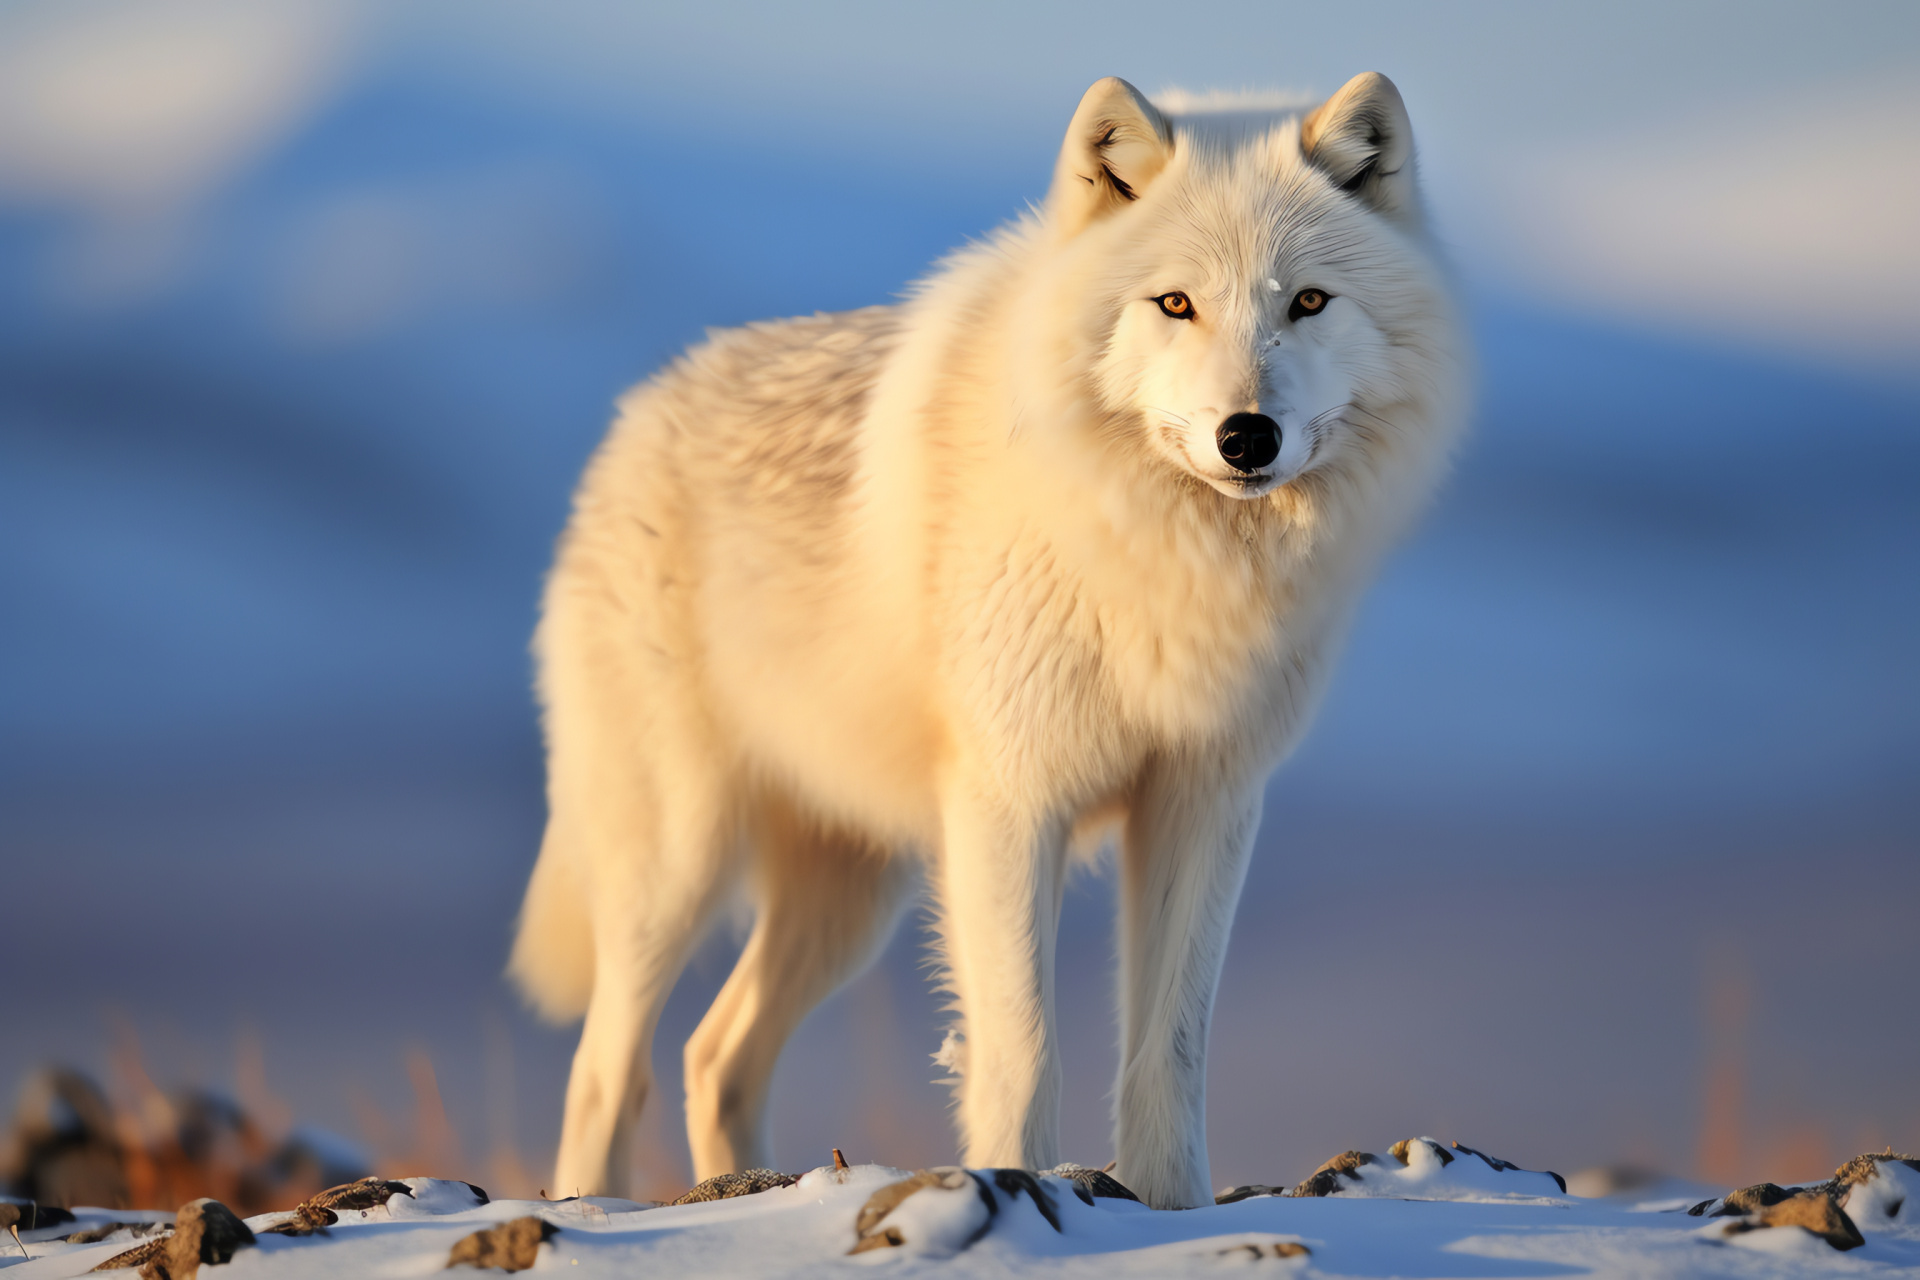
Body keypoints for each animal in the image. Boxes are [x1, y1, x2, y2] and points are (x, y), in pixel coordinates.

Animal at [510, 70, 1466, 1212]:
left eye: (1308, 302)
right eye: (1175, 304)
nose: (1247, 437)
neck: (1155, 560)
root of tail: (634, 417)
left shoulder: (1202, 802)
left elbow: (1172, 1049)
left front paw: (1171, 1210)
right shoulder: (1012, 802)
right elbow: (1022, 1046)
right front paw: (1020, 1184)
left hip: (847, 901)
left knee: (714, 1052)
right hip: (678, 866)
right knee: (604, 1070)